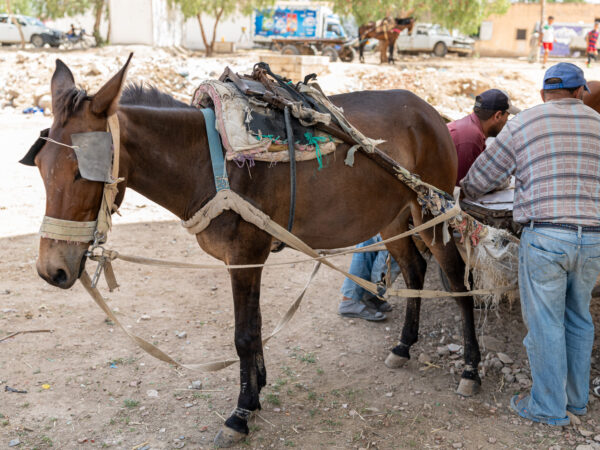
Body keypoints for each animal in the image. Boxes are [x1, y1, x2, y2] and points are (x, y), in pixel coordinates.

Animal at [27, 59, 478, 446]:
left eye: (82, 172)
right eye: (41, 167)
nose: (51, 270)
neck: (207, 162)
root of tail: (429, 110)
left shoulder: (245, 255)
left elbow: (244, 335)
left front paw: (241, 414)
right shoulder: (247, 258)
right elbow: (256, 328)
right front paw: (256, 392)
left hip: (432, 210)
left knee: (457, 280)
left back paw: (471, 368)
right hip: (392, 217)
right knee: (415, 269)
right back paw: (403, 346)